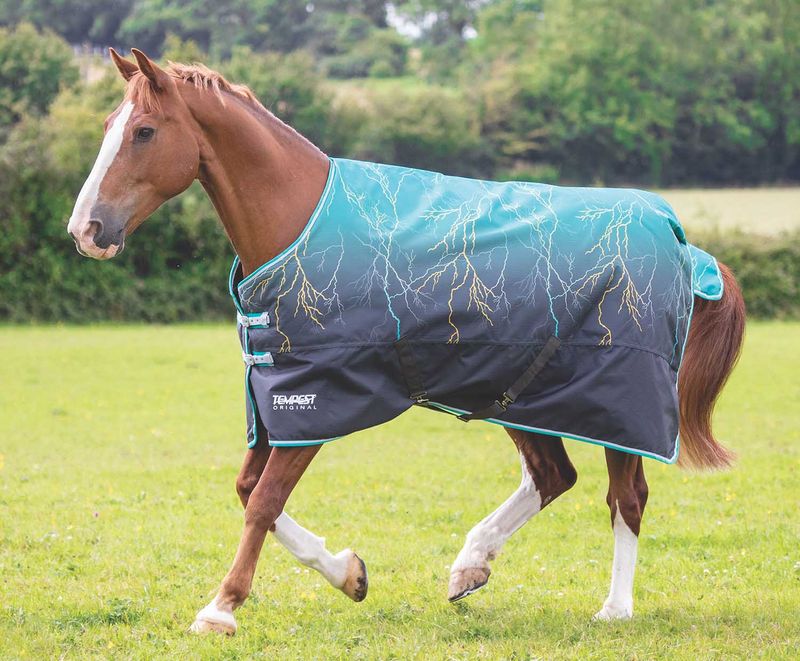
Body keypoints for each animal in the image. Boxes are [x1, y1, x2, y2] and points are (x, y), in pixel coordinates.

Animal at [66, 48, 745, 635]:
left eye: (144, 131)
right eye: (107, 124)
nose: (86, 229)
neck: (298, 221)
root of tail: (676, 234)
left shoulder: (320, 399)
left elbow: (262, 501)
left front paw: (221, 608)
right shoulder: (276, 396)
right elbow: (247, 491)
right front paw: (350, 574)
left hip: (619, 401)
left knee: (626, 495)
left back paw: (614, 609)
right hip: (521, 392)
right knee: (554, 476)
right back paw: (470, 566)